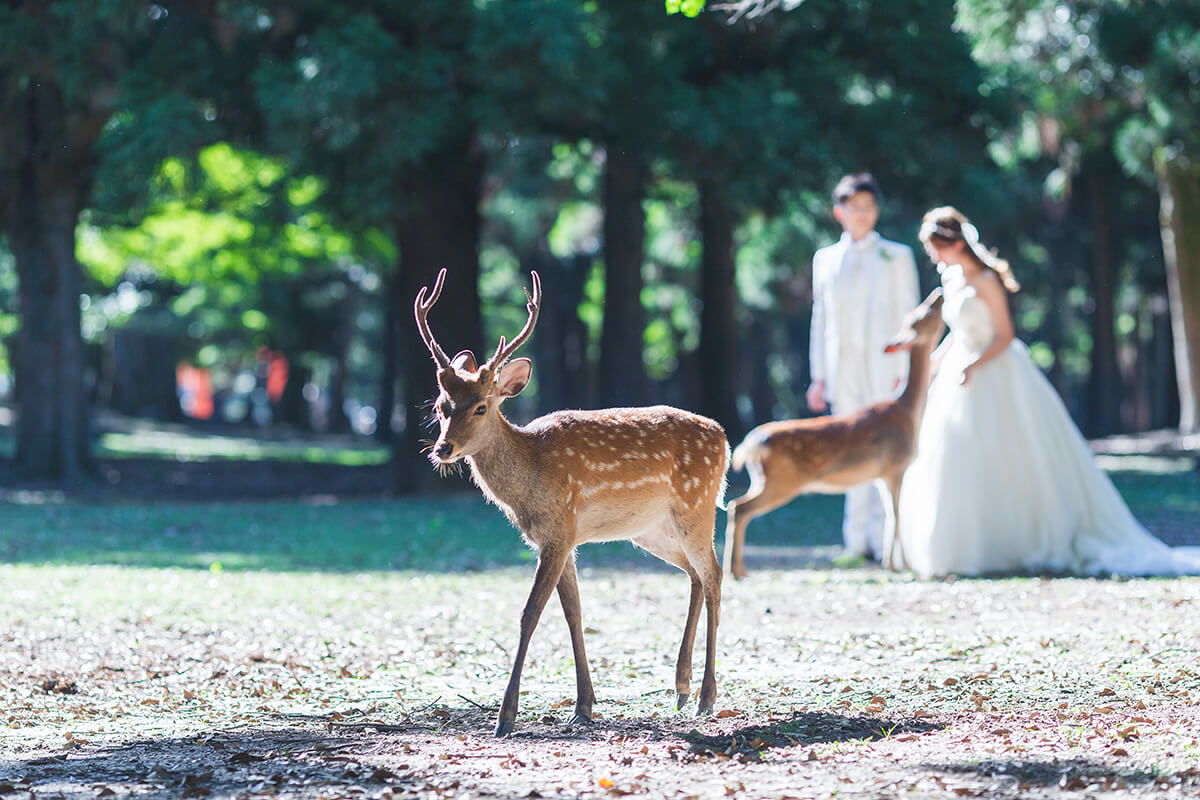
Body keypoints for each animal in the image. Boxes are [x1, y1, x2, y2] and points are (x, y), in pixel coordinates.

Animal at [412, 267, 729, 738]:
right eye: (440, 405)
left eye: (482, 406)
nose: (442, 449)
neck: (531, 475)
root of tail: (725, 439)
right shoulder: (557, 537)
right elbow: (573, 613)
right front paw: (583, 706)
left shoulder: (559, 528)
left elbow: (530, 613)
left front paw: (506, 717)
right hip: (653, 530)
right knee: (694, 575)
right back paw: (681, 688)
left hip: (698, 505)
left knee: (714, 574)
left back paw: (706, 697)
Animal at [720, 291, 945, 578]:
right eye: (921, 315)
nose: (939, 294)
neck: (909, 411)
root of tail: (750, 444)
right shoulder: (896, 466)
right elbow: (897, 515)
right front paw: (900, 566)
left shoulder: (881, 475)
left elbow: (889, 515)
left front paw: (892, 563)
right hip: (780, 482)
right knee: (740, 508)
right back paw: (734, 570)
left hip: (761, 479)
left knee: (737, 507)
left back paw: (739, 570)